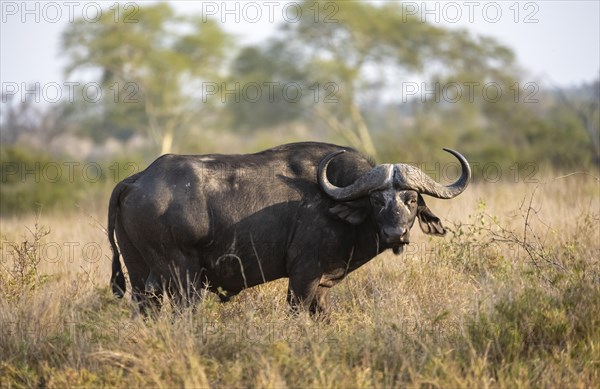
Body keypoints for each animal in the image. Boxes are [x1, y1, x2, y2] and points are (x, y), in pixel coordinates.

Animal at [110, 141, 472, 314]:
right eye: (376, 199)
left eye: (411, 198)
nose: (396, 234)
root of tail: (137, 179)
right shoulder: (303, 276)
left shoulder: (322, 286)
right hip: (182, 275)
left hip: (142, 277)